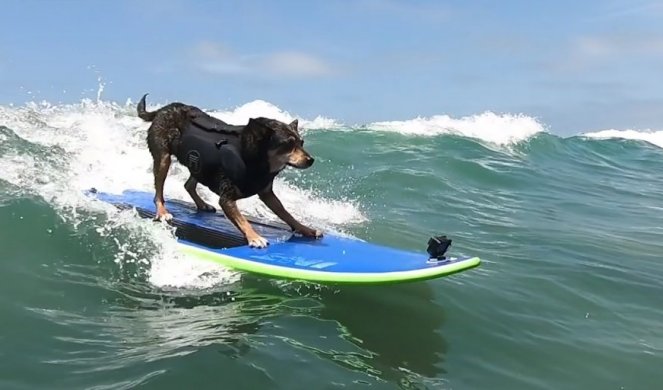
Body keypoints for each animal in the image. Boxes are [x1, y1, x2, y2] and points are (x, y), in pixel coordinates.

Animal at [136, 94, 322, 247]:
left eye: (301, 143)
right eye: (288, 145)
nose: (311, 160)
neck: (252, 157)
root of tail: (164, 109)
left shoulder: (267, 193)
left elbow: (286, 214)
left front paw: (305, 229)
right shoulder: (227, 199)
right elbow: (242, 220)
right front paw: (254, 237)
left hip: (202, 164)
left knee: (189, 184)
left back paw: (202, 204)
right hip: (164, 159)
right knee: (158, 191)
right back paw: (162, 211)